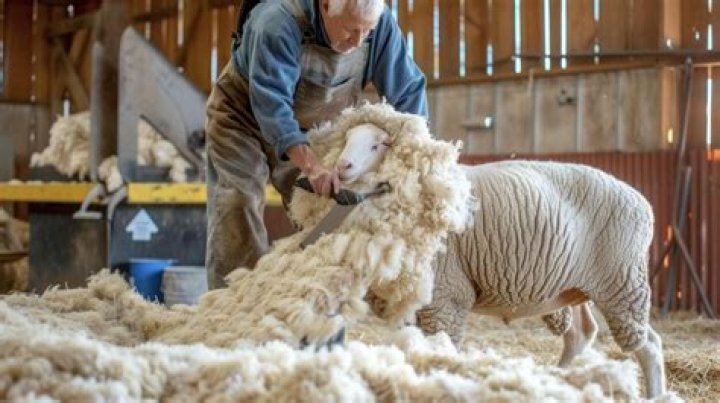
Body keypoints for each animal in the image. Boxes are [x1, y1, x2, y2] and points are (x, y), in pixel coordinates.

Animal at [335, 123, 667, 398]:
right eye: (347, 138)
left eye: (379, 144)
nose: (342, 166)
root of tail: (642, 201)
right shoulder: (407, 300)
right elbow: (409, 345)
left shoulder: (445, 295)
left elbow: (444, 348)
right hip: (574, 285)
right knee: (581, 334)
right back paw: (558, 376)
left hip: (622, 280)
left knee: (649, 345)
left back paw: (655, 393)